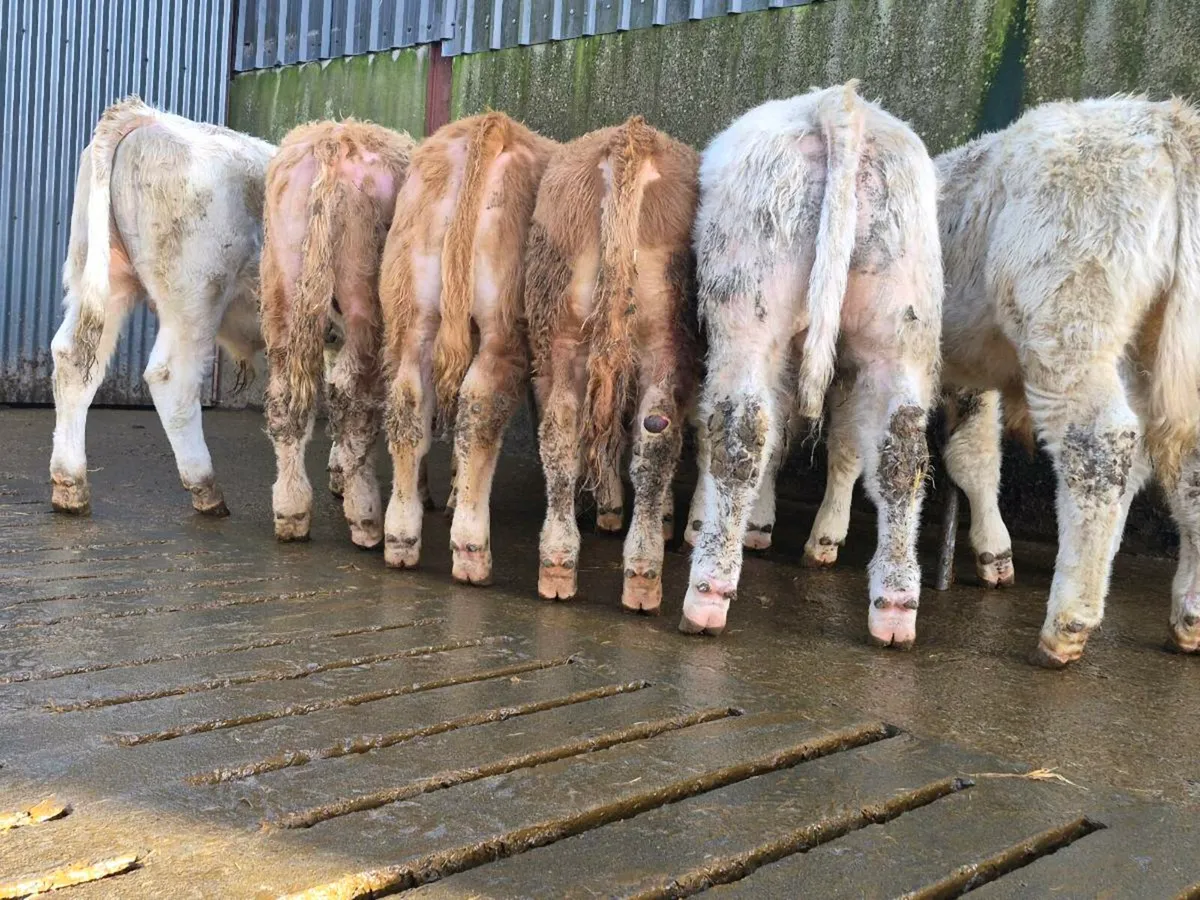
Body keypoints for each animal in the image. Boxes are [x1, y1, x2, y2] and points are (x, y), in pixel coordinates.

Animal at [50, 96, 273, 517]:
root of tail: (146, 117)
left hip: (102, 275)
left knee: (74, 360)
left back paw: (70, 486)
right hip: (196, 295)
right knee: (171, 377)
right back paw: (206, 488)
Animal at [260, 120, 415, 548]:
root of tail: (334, 141)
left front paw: (337, 472)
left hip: (283, 289)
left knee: (286, 397)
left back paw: (291, 509)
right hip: (364, 300)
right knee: (352, 397)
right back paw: (365, 515)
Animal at [379, 112, 557, 584]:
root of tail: (491, 124)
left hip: (413, 313)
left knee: (409, 406)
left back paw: (401, 537)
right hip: (503, 326)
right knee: (480, 410)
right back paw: (472, 550)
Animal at [526, 116, 699, 612]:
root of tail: (630, 138)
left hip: (561, 330)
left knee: (562, 433)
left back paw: (559, 564)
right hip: (666, 336)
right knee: (656, 438)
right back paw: (643, 574)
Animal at [681, 82, 943, 647]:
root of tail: (839, 105)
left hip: (748, 309)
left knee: (743, 433)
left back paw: (707, 594)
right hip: (900, 327)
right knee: (901, 452)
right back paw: (894, 609)